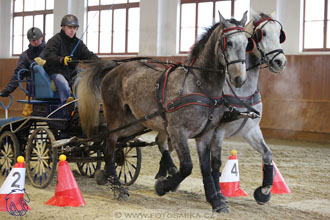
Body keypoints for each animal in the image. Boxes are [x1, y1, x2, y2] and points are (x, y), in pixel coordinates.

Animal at [78, 11, 253, 212]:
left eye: (247, 43)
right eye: (229, 42)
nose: (239, 78)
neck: (199, 86)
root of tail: (114, 67)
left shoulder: (205, 134)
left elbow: (206, 167)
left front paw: (216, 200)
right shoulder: (177, 131)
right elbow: (187, 166)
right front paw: (163, 186)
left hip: (135, 122)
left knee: (115, 145)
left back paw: (104, 175)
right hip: (115, 117)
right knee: (108, 147)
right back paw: (118, 187)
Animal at [156, 12, 288, 205]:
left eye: (280, 33)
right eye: (261, 34)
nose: (280, 62)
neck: (241, 92)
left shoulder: (251, 130)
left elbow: (267, 153)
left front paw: (264, 191)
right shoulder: (218, 131)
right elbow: (215, 164)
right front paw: (217, 193)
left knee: (164, 143)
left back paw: (167, 174)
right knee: (162, 142)